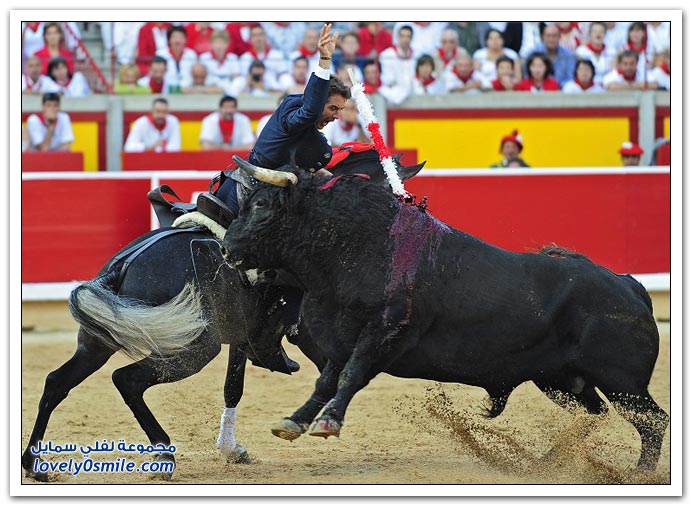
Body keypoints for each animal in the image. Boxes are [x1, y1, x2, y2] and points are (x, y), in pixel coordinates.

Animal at [21, 151, 422, 482]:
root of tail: (122, 267)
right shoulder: (305, 331)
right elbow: (332, 370)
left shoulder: (244, 338)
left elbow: (235, 386)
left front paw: (235, 449)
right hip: (196, 346)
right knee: (126, 381)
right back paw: (163, 455)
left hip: (97, 341)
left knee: (56, 382)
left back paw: (34, 464)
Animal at [224, 165, 668, 470]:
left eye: (260, 206)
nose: (227, 249)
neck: (360, 247)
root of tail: (629, 286)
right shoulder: (344, 338)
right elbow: (327, 380)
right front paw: (295, 422)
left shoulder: (385, 334)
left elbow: (350, 376)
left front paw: (328, 422)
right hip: (561, 381)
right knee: (597, 414)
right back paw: (550, 461)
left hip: (622, 381)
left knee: (653, 421)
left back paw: (639, 473)